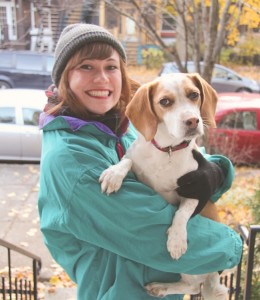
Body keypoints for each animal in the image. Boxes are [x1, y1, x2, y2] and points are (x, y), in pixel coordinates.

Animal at [99, 73, 228, 300]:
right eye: (165, 102)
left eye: (194, 95)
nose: (192, 121)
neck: (168, 150)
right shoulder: (136, 162)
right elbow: (128, 160)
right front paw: (114, 173)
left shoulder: (195, 189)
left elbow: (182, 212)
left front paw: (177, 239)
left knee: (193, 286)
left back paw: (161, 287)